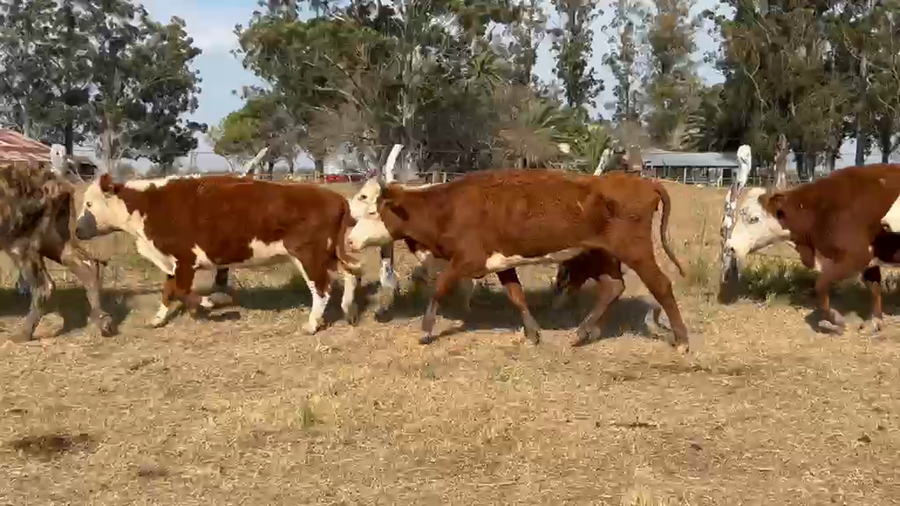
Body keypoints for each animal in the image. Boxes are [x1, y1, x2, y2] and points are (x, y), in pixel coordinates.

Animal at [1, 165, 114, 341]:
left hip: (20, 243)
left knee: (43, 286)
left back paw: (22, 334)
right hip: (54, 240)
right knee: (88, 267)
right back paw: (103, 321)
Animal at [74, 173, 362, 334]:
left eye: (88, 204)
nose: (75, 230)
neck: (148, 205)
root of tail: (336, 198)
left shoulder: (185, 260)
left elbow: (181, 291)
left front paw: (210, 302)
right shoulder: (171, 262)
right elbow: (167, 292)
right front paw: (157, 319)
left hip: (308, 255)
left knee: (322, 290)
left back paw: (312, 325)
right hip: (329, 254)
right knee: (351, 275)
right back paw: (348, 310)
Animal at [346, 168, 690, 351]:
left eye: (373, 209)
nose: (349, 240)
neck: (448, 206)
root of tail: (643, 181)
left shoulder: (467, 260)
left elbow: (441, 287)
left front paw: (427, 329)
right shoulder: (501, 263)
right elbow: (516, 295)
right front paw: (533, 331)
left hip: (635, 251)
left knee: (660, 285)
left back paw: (682, 340)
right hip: (601, 254)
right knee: (612, 287)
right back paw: (583, 332)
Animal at [722, 164, 900, 334]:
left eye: (754, 219)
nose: (730, 247)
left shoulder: (856, 257)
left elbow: (820, 285)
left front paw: (836, 320)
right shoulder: (869, 260)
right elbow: (875, 288)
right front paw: (875, 321)